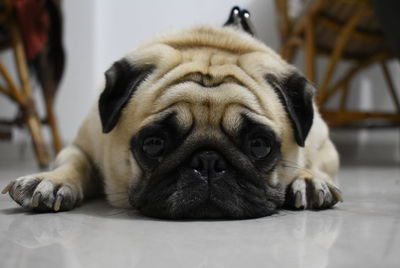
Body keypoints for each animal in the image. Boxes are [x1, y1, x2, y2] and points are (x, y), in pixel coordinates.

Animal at [1, 25, 342, 219]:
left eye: (259, 145)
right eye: (154, 144)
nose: (208, 161)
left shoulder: (323, 141)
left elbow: (317, 160)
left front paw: (309, 179)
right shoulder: (84, 144)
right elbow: (75, 162)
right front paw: (52, 180)